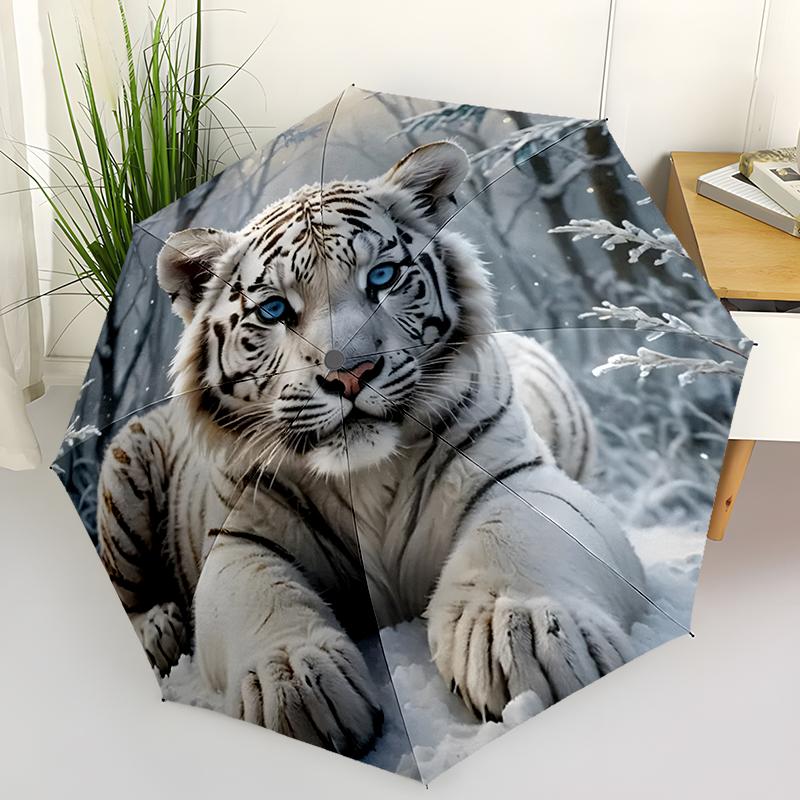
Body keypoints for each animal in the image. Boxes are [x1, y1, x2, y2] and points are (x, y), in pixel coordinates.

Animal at [97, 140, 645, 758]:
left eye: (381, 277)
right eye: (274, 311)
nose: (349, 373)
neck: (365, 475)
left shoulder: (519, 477)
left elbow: (517, 541)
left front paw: (519, 635)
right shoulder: (240, 537)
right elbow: (260, 597)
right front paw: (295, 684)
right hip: (126, 464)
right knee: (131, 595)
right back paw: (161, 629)